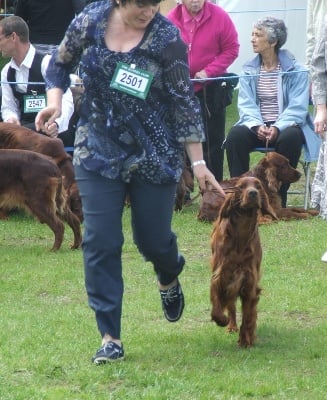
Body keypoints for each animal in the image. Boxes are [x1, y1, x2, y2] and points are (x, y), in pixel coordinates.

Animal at [211, 176, 278, 346]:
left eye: (258, 186)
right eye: (241, 187)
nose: (253, 193)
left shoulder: (249, 280)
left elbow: (248, 315)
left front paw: (246, 339)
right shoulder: (221, 275)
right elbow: (217, 302)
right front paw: (221, 319)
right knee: (231, 305)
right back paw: (231, 326)